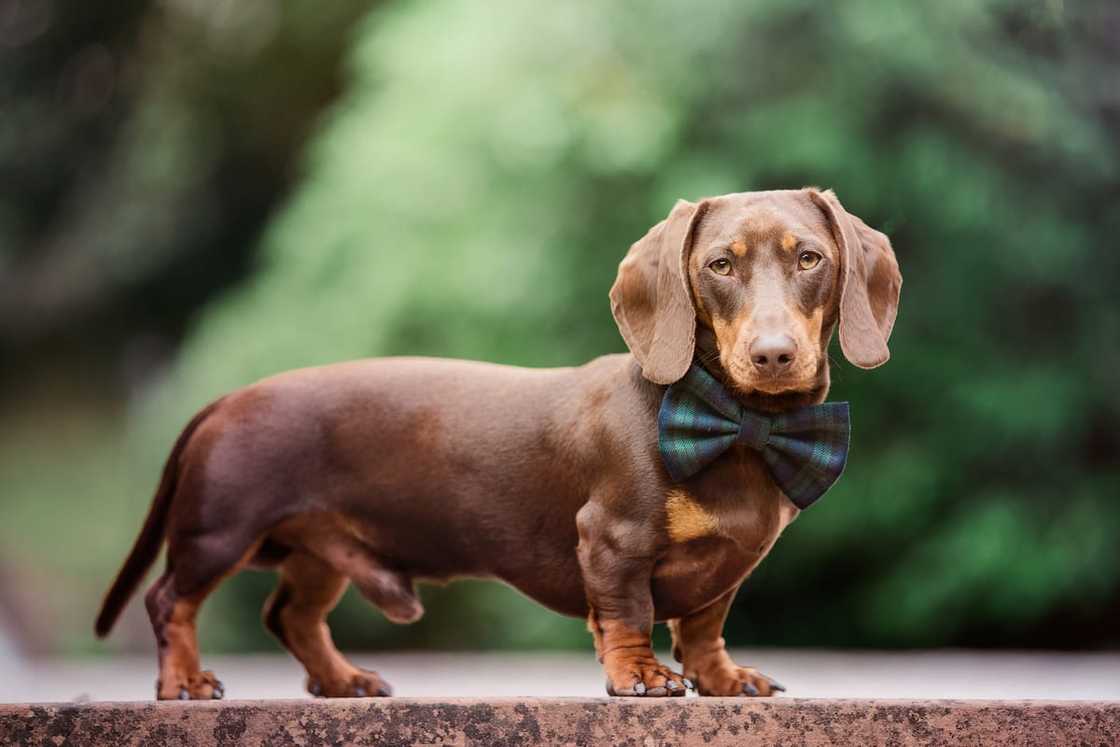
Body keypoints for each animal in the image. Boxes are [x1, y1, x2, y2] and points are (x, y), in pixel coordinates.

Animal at [94, 187, 900, 703]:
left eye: (809, 258)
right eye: (720, 266)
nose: (773, 355)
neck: (731, 422)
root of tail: (223, 400)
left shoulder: (729, 567)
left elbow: (703, 627)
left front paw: (725, 680)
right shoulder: (611, 540)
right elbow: (631, 615)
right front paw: (640, 677)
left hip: (321, 551)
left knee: (290, 615)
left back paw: (343, 679)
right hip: (217, 531)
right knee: (170, 601)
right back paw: (184, 683)